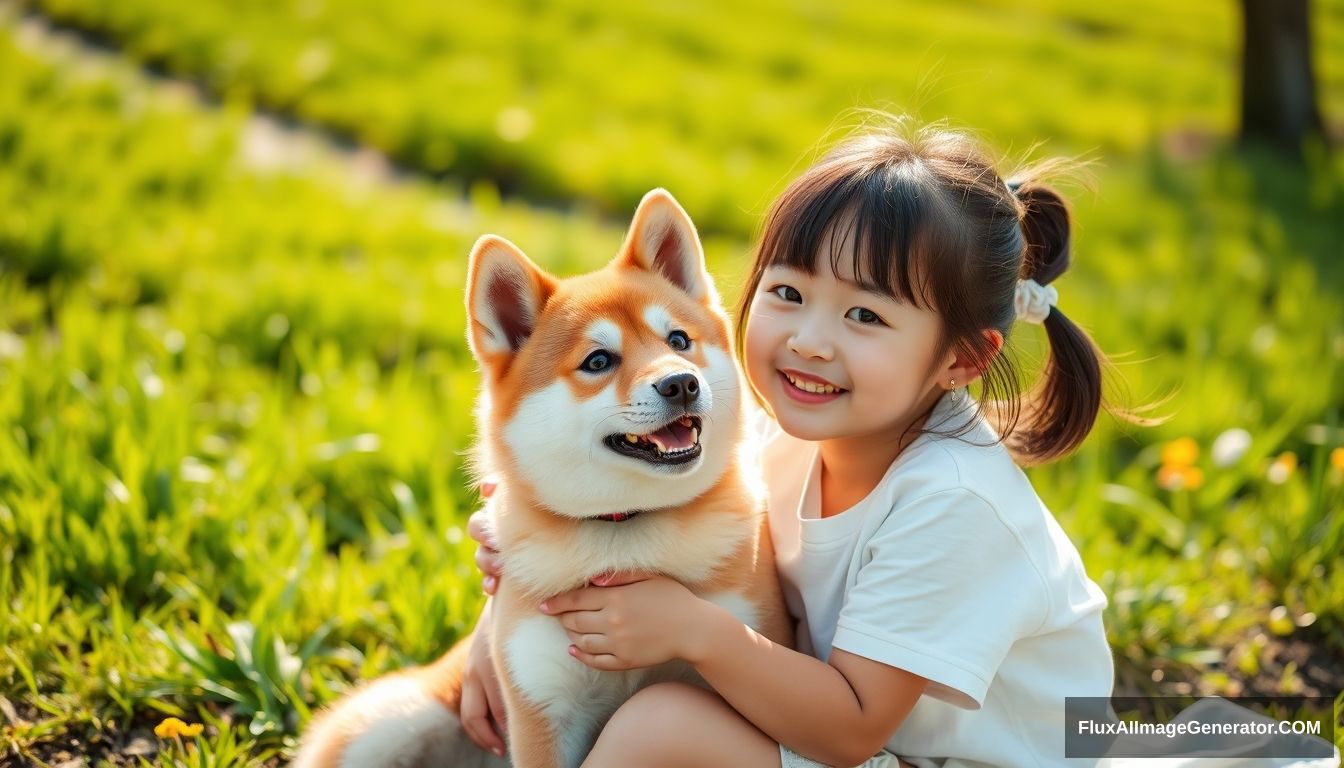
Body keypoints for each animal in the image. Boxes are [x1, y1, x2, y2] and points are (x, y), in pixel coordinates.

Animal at [295, 190, 790, 768]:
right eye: (598, 361)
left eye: (678, 340)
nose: (681, 383)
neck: (623, 532)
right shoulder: (543, 709)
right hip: (385, 721)